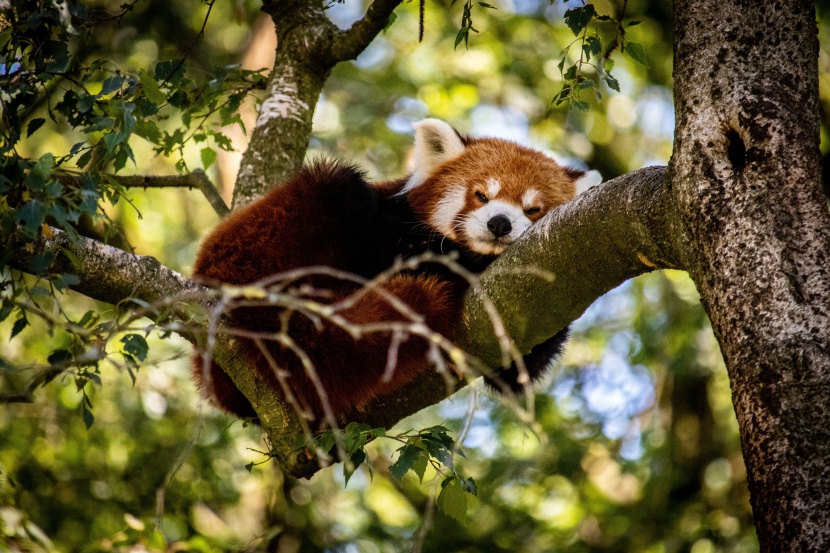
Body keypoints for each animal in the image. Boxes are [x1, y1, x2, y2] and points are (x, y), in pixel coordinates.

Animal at [194, 118, 584, 422]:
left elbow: (516, 369)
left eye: (532, 209)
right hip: (280, 229)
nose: (499, 224)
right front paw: (463, 264)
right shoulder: (396, 227)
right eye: (481, 196)